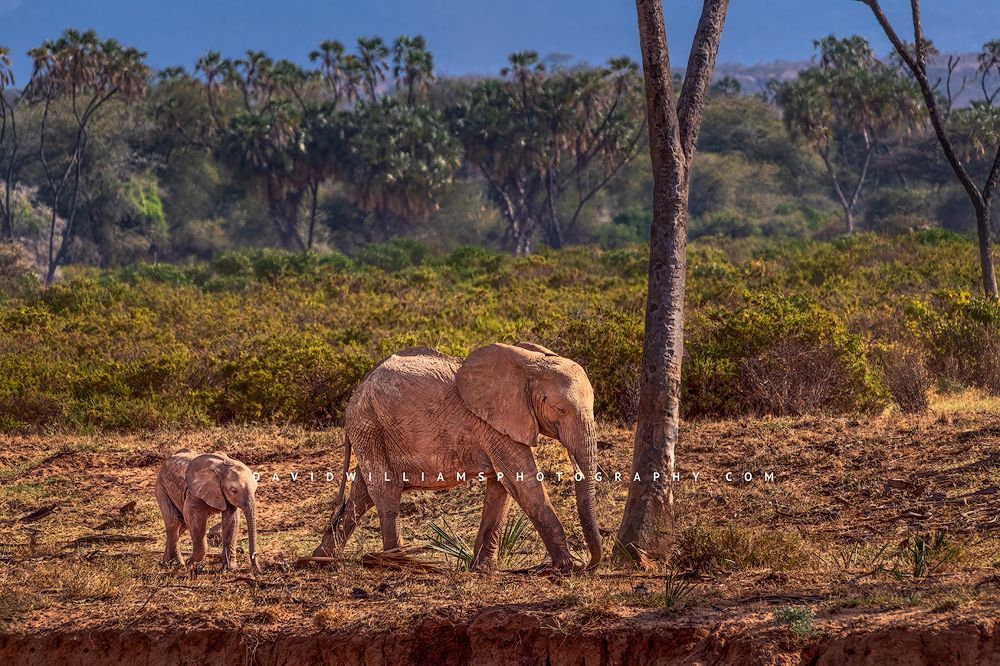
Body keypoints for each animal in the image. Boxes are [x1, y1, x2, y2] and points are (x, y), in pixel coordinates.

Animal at [313, 342, 602, 573]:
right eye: (560, 409)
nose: (589, 565)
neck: (530, 365)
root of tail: (358, 390)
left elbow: (502, 486)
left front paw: (483, 569)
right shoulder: (492, 423)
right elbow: (524, 482)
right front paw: (569, 566)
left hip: (370, 430)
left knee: (361, 494)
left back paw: (321, 560)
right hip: (369, 425)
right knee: (385, 490)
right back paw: (398, 564)